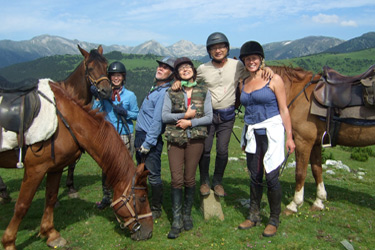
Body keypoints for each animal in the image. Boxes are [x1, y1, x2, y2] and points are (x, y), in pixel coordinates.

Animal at [0, 82, 153, 250]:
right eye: (142, 199)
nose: (149, 232)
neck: (66, 122)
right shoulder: (35, 169)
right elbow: (22, 205)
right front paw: (9, 242)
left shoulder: (55, 168)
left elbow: (51, 198)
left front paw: (51, 234)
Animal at [270, 65, 375, 215]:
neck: (297, 93)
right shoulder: (315, 143)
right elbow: (317, 170)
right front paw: (319, 201)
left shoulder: (303, 141)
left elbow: (300, 172)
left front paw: (294, 204)